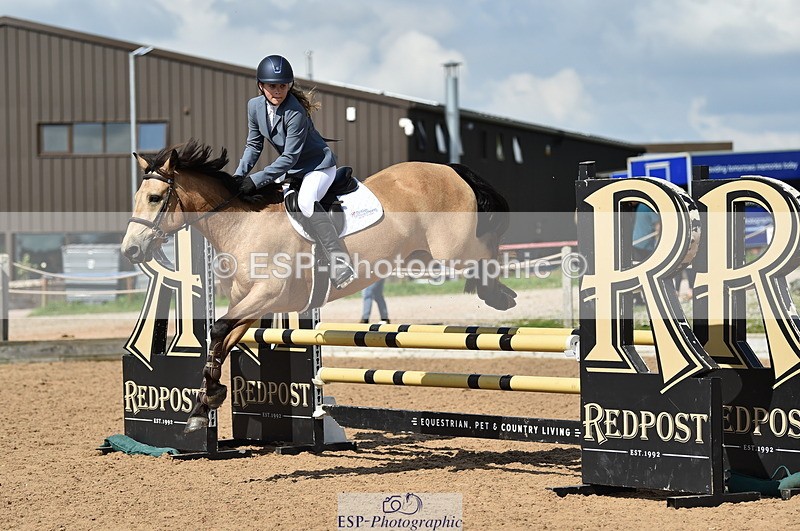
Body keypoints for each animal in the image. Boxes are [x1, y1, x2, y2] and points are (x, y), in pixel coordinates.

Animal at [121, 140, 517, 432]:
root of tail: (449, 168)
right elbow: (220, 340)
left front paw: (207, 400)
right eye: (138, 198)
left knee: (487, 249)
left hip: (452, 249)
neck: (242, 225)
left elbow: (218, 330)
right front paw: (204, 406)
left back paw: (498, 294)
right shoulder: (250, 305)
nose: (130, 250)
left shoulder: (268, 295)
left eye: (155, 199)